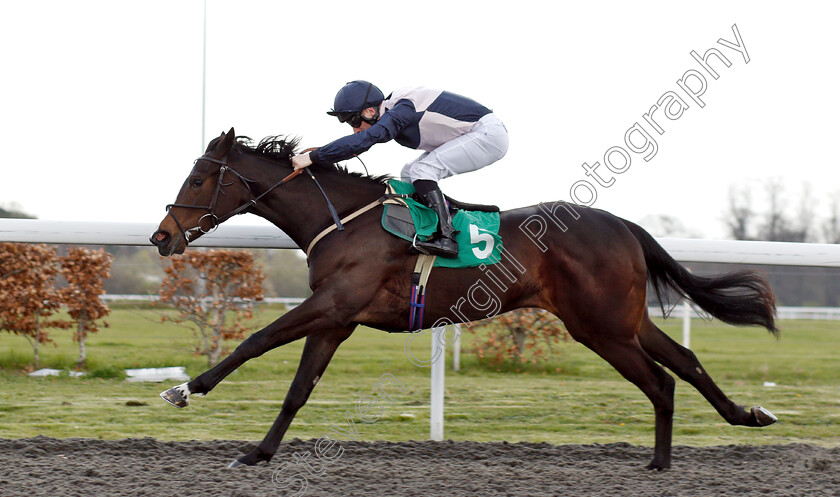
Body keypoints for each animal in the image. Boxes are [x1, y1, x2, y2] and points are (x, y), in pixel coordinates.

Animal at [151, 128, 780, 468]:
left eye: (199, 179)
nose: (161, 237)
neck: (346, 221)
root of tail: (624, 225)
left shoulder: (333, 306)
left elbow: (255, 341)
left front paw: (185, 389)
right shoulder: (337, 319)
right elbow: (298, 390)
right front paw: (258, 452)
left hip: (600, 327)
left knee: (661, 380)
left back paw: (664, 459)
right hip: (622, 321)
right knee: (686, 364)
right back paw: (742, 416)